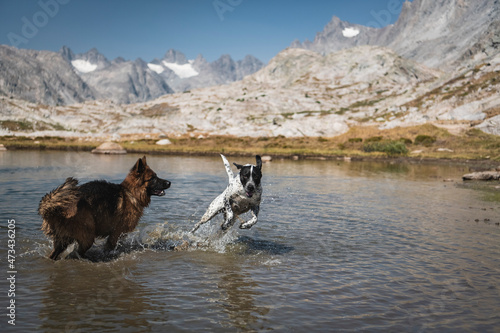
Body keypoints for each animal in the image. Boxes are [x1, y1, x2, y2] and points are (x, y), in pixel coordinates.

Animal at [37, 156, 170, 260]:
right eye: (153, 178)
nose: (169, 183)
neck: (130, 193)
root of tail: (57, 210)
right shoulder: (116, 233)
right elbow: (109, 248)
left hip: (63, 241)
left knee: (55, 255)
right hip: (88, 236)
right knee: (75, 254)